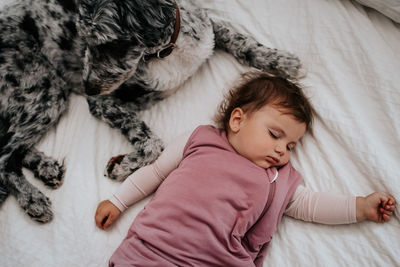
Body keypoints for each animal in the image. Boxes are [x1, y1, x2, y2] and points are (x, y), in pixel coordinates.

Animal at [0, 0, 300, 223]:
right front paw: (122, 166)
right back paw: (33, 200)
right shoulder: (104, 103)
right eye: (83, 37)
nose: (88, 87)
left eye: (109, 43)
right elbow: (153, 144)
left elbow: (242, 41)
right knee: (4, 156)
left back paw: (46, 168)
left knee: (12, 148)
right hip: (44, 91)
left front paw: (281, 60)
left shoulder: (209, 32)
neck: (168, 52)